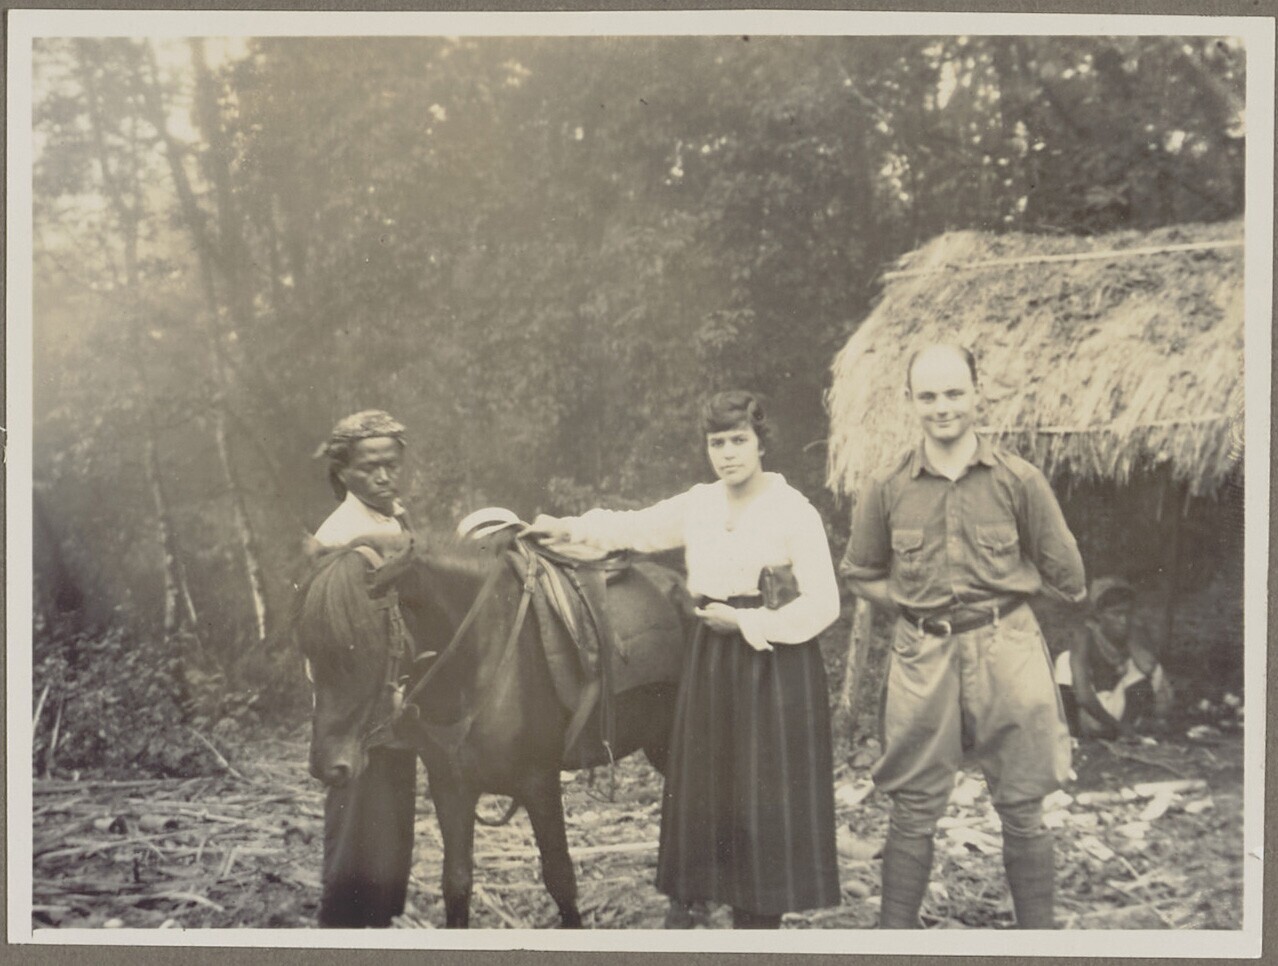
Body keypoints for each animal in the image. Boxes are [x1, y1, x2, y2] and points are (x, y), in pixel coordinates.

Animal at [296, 526, 689, 928]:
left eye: (362, 644)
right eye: (308, 649)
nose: (326, 766)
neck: (480, 658)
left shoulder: (540, 784)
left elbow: (561, 879)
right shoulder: (449, 786)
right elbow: (456, 883)